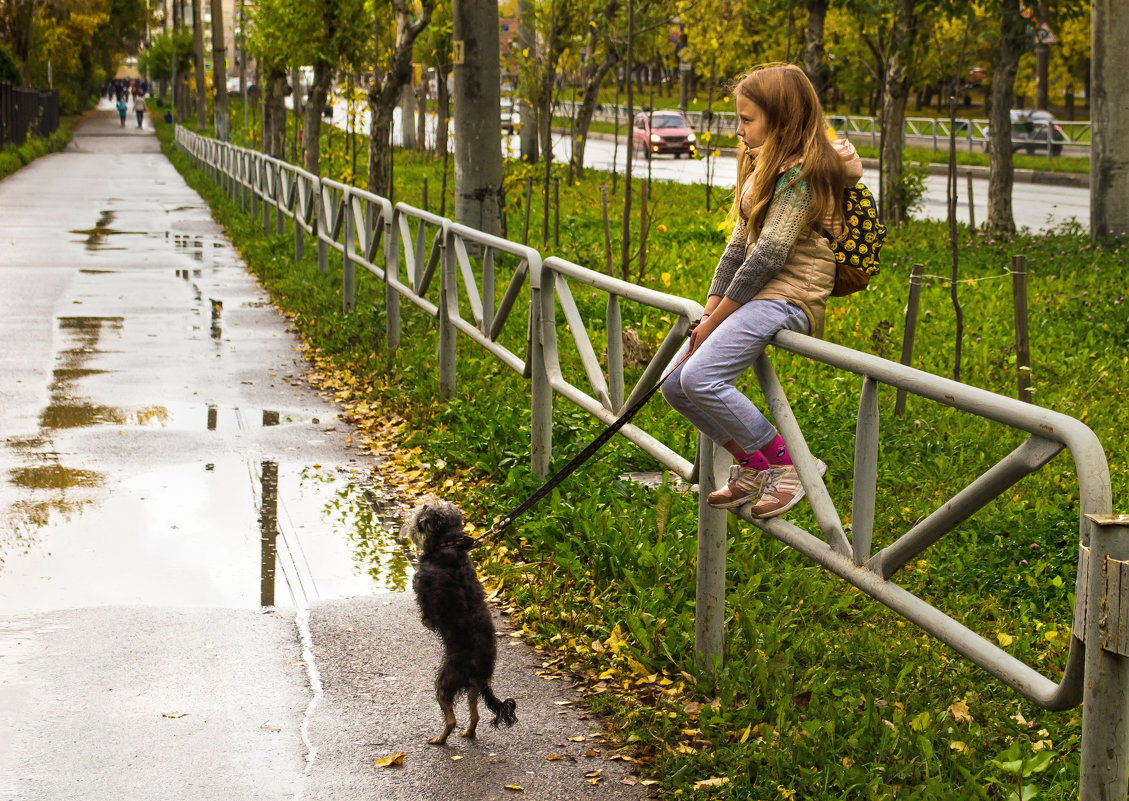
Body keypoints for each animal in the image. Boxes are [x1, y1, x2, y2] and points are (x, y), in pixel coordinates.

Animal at [404, 499, 517, 745]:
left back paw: (439, 739)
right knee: (474, 716)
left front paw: (426, 622)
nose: (421, 504)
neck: (446, 545)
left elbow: (425, 613)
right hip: (472, 688)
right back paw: (468, 732)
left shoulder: (421, 587)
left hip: (444, 682)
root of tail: (481, 674)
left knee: (451, 719)